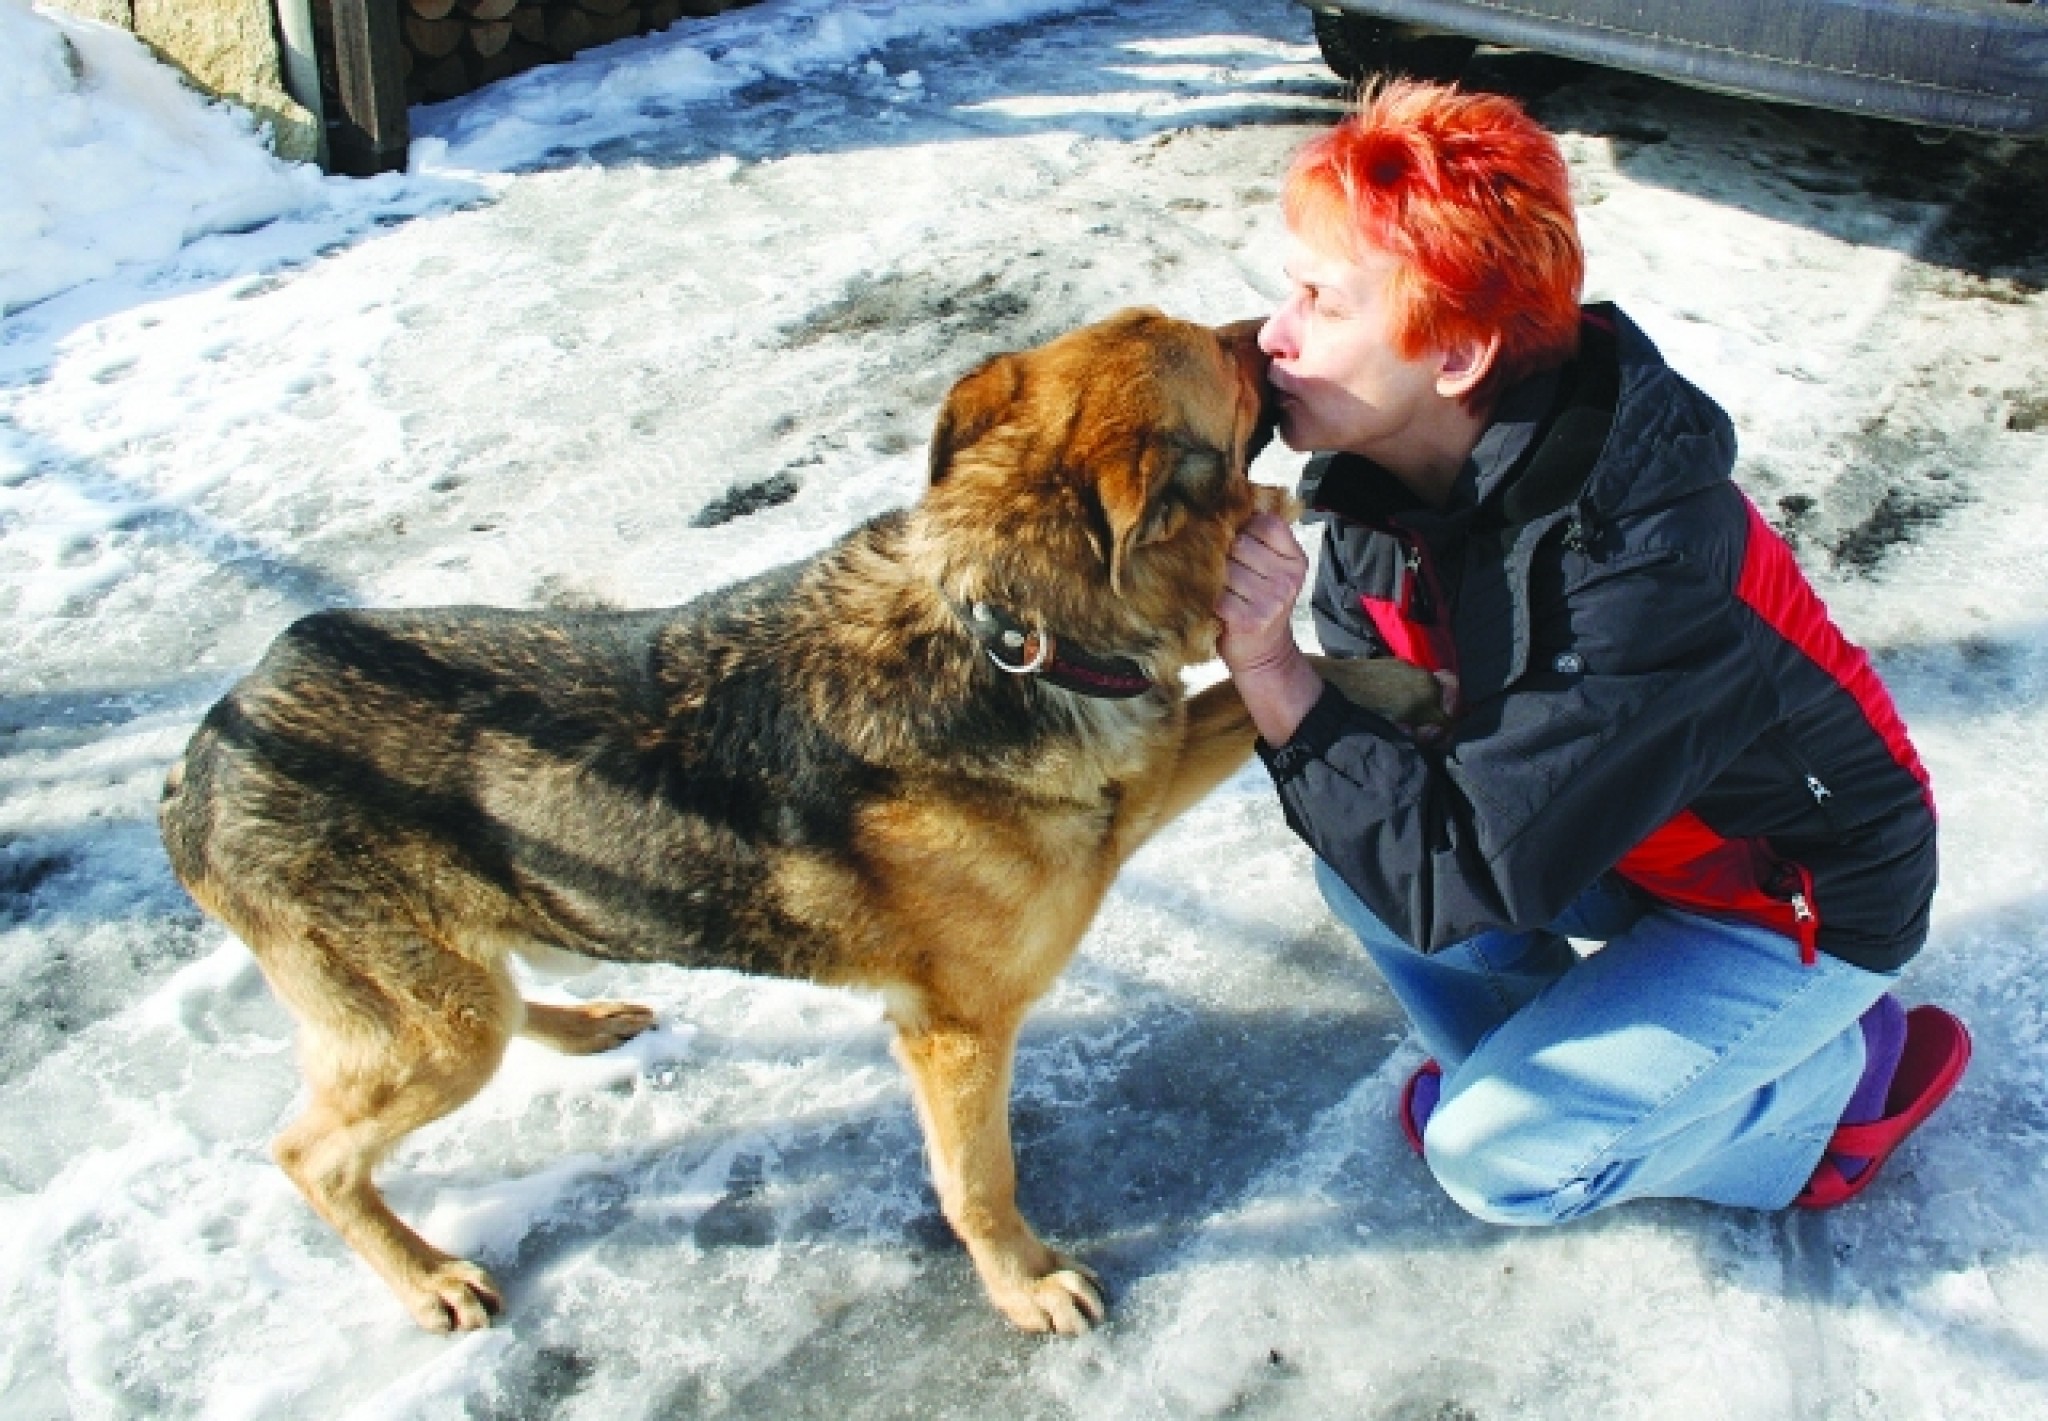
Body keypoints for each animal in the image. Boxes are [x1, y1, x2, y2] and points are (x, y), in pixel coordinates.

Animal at [155, 307, 1441, 1343]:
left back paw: (582, 1021)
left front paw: (1402, 684)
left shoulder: (1132, 784)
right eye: (1217, 354)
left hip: (453, 993)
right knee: (310, 1152)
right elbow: (979, 1182)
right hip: (430, 1032)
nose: (1272, 330)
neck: (1000, 624)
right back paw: (423, 1275)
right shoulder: (955, 1032)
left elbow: (1254, 692)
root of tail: (205, 747)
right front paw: (1021, 1285)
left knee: (500, 1002)